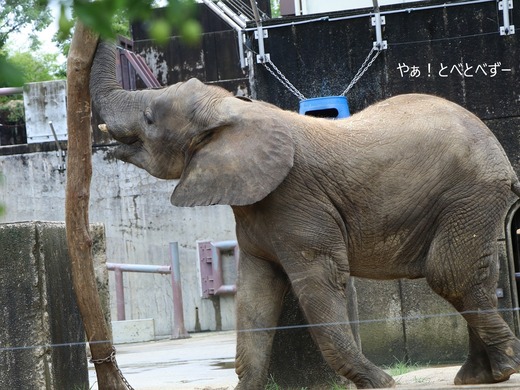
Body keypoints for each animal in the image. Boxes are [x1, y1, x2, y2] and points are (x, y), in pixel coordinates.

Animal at [90, 41, 520, 388]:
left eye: (150, 120)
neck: (234, 110)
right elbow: (255, 295)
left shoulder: (297, 198)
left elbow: (318, 281)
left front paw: (381, 384)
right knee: (474, 274)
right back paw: (482, 376)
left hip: (470, 193)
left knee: (450, 274)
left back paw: (502, 369)